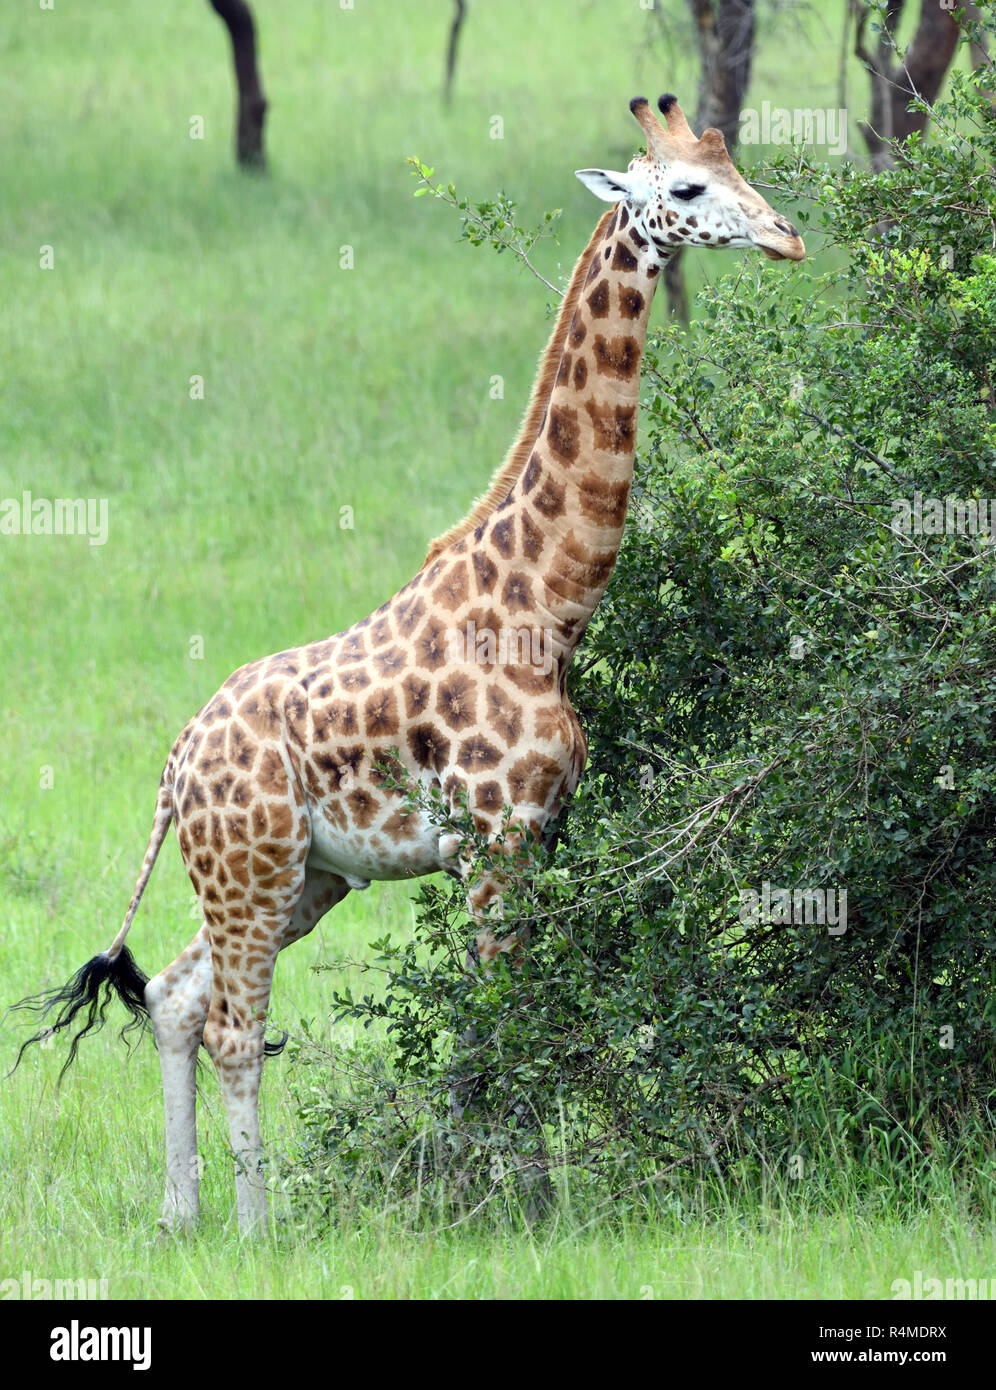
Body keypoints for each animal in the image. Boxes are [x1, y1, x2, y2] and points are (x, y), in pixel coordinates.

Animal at [11, 97, 805, 1234]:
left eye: (740, 168)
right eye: (689, 188)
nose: (788, 237)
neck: (547, 608)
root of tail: (172, 768)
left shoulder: (539, 834)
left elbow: (511, 1016)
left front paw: (501, 1189)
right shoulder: (492, 838)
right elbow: (493, 1019)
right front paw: (507, 1202)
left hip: (300, 876)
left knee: (171, 995)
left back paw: (181, 1215)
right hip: (252, 866)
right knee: (234, 1029)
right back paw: (256, 1228)